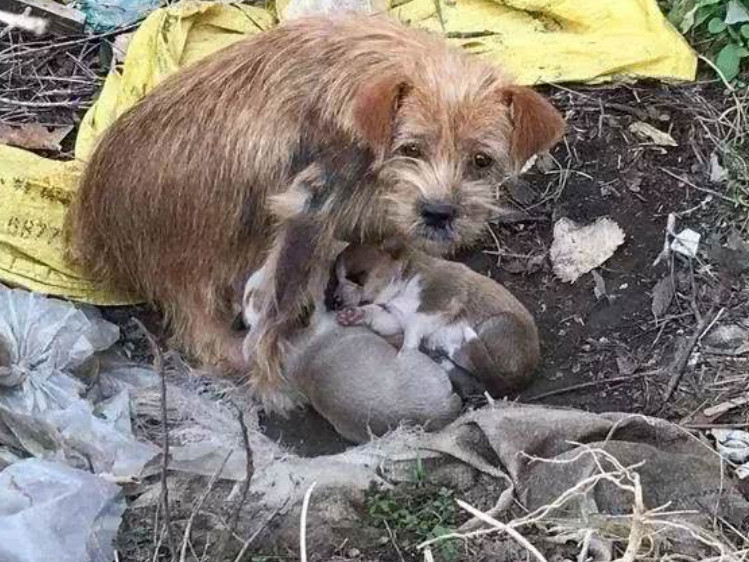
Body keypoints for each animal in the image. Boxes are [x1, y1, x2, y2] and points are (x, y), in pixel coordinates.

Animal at [334, 243, 536, 396]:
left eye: (357, 278)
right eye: (336, 279)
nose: (334, 300)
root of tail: (522, 378)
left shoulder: (441, 301)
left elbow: (413, 328)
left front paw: (406, 356)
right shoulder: (395, 317)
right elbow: (377, 314)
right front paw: (354, 314)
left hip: (498, 323)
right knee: (475, 380)